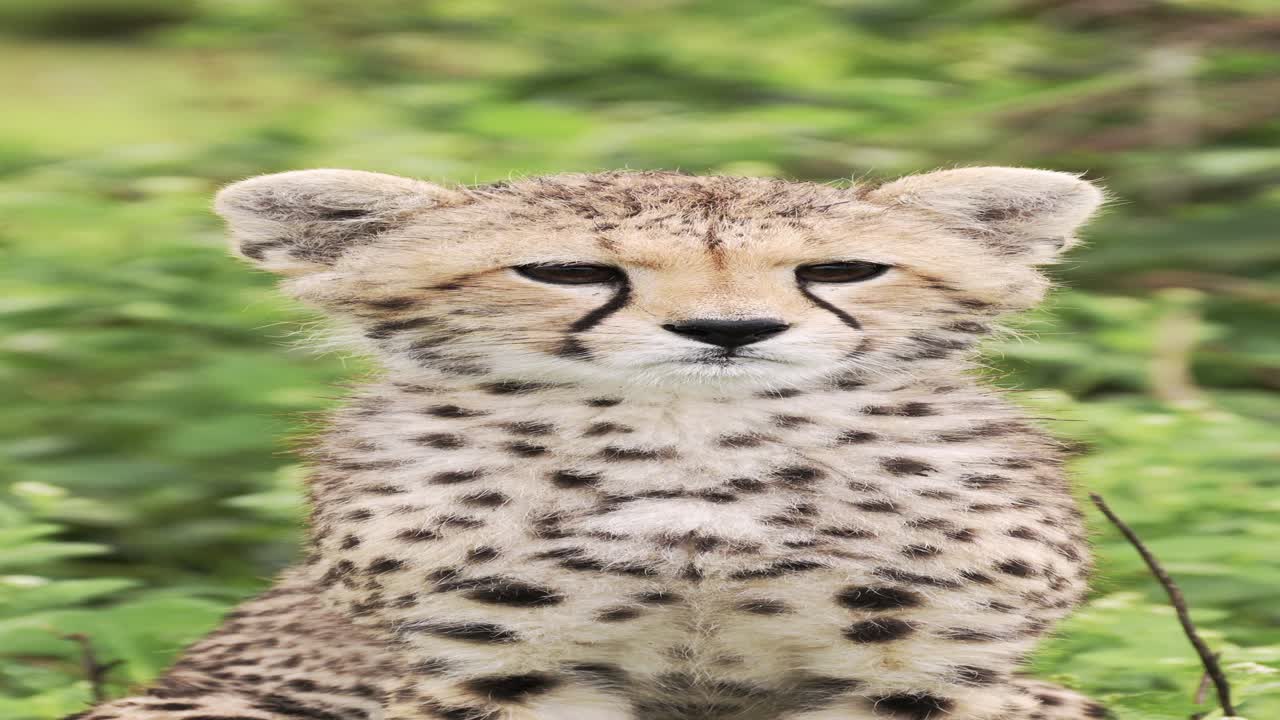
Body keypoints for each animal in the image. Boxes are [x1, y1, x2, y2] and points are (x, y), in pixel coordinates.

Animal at [72, 166, 1109, 720]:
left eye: (845, 269)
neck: (695, 459)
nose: (728, 330)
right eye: (566, 271)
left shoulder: (926, 668)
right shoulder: (500, 666)